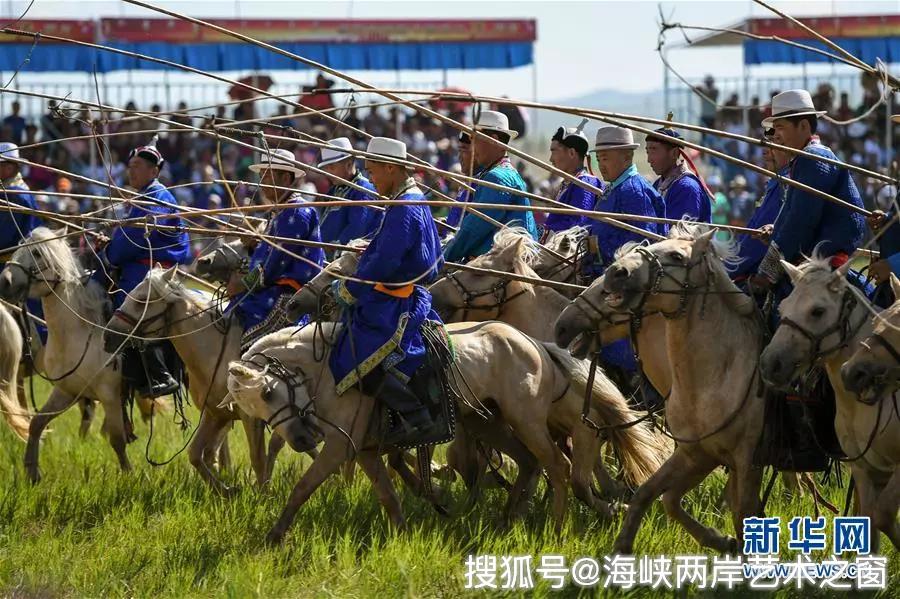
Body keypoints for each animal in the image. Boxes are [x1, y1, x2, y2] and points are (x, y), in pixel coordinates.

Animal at [764, 260, 900, 552]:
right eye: (782, 307)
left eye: (818, 311)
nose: (770, 364)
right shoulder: (864, 470)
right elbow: (872, 524)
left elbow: (883, 515)